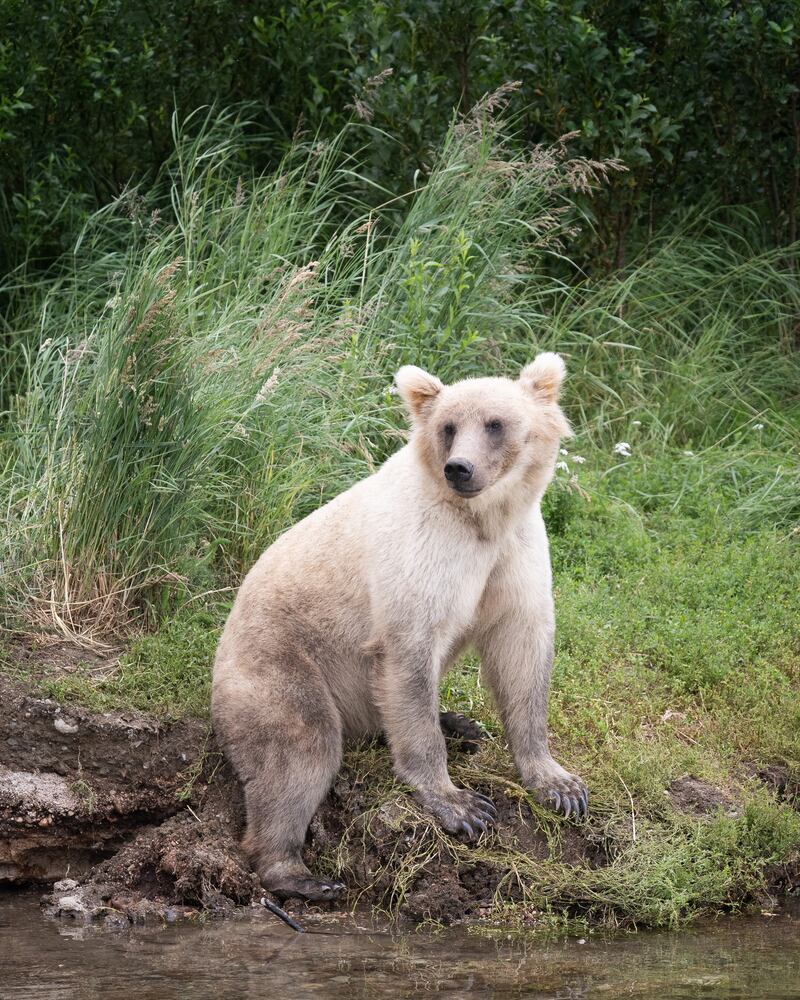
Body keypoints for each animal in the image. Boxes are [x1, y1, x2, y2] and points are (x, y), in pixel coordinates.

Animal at [212, 356, 588, 904]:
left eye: (494, 423)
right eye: (449, 427)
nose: (460, 468)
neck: (482, 521)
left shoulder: (515, 559)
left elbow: (521, 655)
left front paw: (560, 784)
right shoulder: (420, 561)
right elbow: (410, 661)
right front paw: (462, 806)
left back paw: (461, 724)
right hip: (280, 665)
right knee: (298, 754)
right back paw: (301, 874)